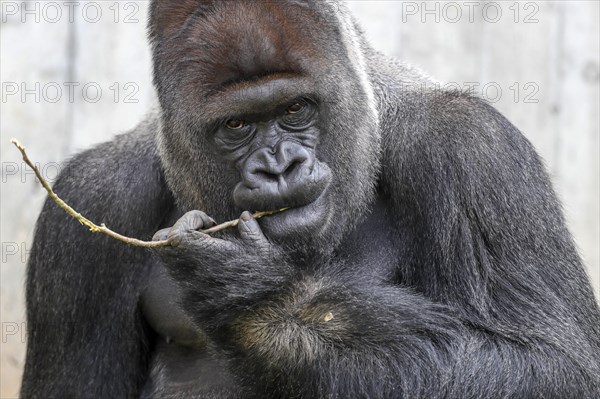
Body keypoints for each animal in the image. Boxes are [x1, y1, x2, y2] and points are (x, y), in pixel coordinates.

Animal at [18, 0, 600, 399]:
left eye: (296, 109)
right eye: (236, 125)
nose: (279, 167)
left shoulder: (472, 148)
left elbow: (550, 363)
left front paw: (257, 301)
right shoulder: (94, 194)